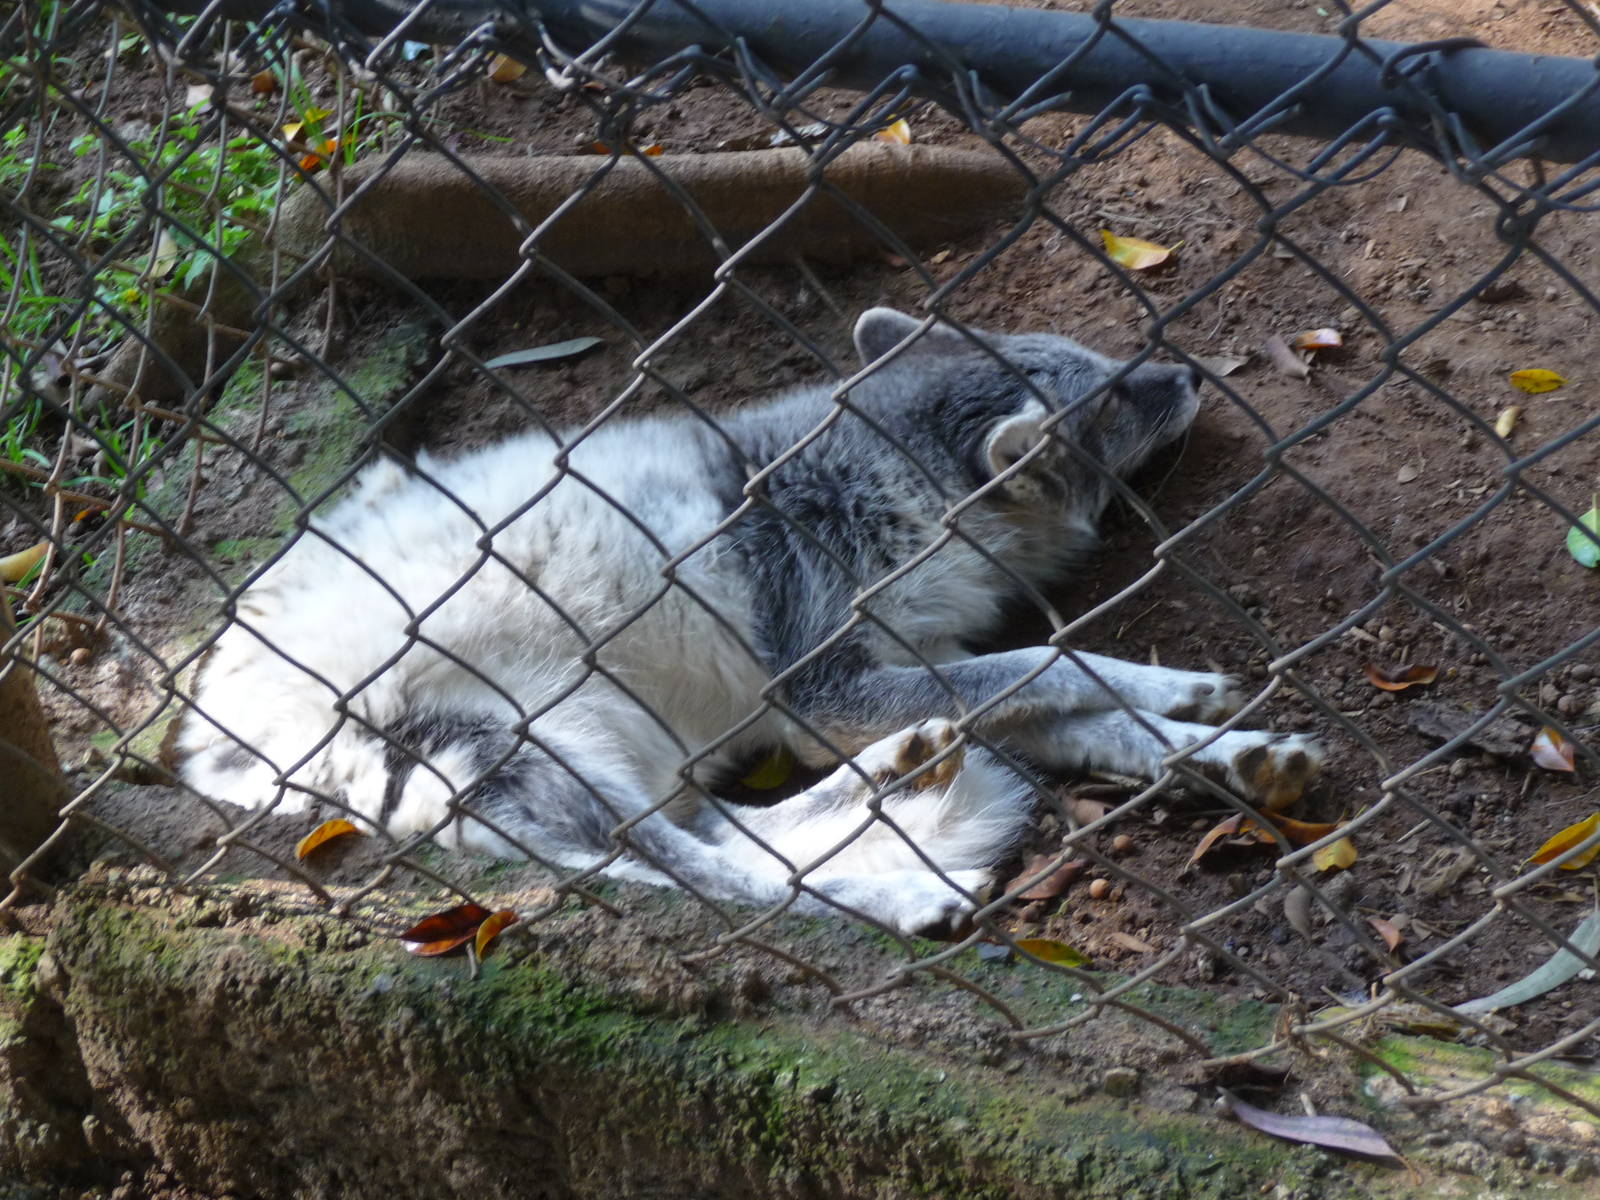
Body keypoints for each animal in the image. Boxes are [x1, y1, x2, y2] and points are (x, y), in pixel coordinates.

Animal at [180, 307, 1322, 935]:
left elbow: (1081, 713)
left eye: (1117, 366)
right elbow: (1060, 657)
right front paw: (1177, 689)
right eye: (1119, 396)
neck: (870, 479)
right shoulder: (823, 686)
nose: (1191, 372)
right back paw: (902, 894)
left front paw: (1228, 753)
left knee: (732, 836)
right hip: (518, 750)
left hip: (614, 747)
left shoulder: (917, 661)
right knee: (716, 881)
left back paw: (902, 774)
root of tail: (205, 738)